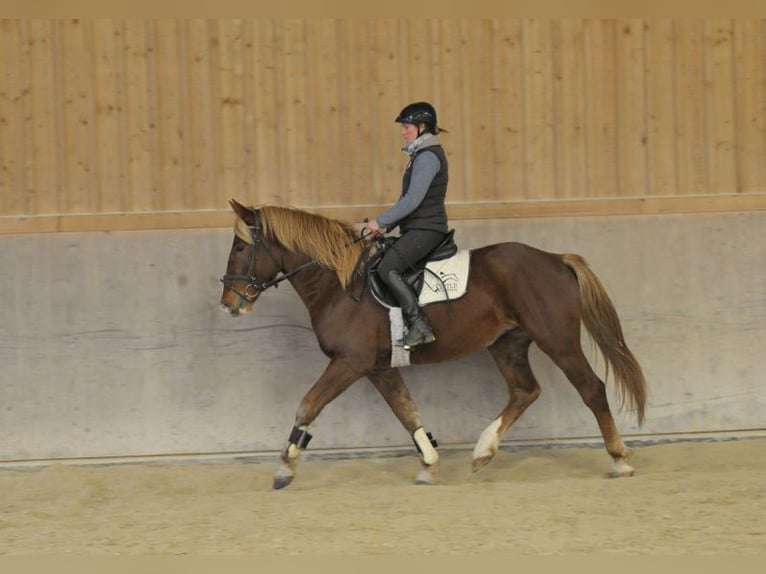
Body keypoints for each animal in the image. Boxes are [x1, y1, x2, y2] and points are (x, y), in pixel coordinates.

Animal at [220, 201, 648, 490]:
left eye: (240, 248)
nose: (229, 304)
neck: (341, 286)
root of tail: (557, 259)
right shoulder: (378, 368)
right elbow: (407, 413)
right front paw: (428, 464)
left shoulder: (349, 363)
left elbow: (308, 404)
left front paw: (284, 467)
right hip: (507, 344)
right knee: (525, 391)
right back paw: (483, 452)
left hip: (557, 341)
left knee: (591, 389)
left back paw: (620, 460)